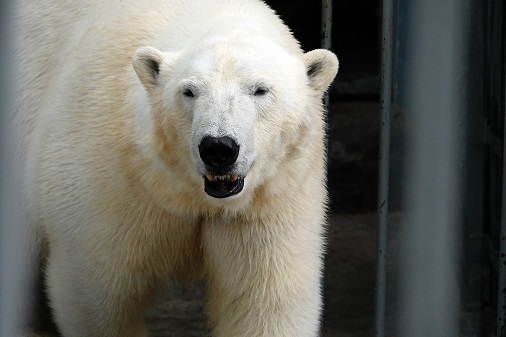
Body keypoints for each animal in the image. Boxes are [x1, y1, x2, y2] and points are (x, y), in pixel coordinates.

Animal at [13, 0, 338, 334]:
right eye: (189, 91)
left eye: (260, 89)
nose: (218, 148)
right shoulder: (111, 181)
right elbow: (97, 293)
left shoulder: (267, 204)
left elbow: (265, 303)